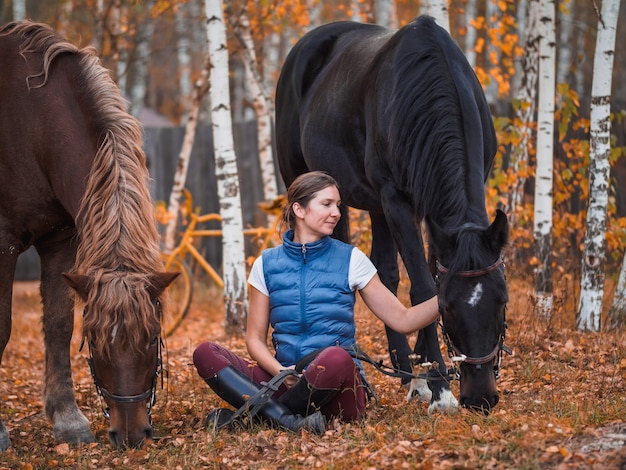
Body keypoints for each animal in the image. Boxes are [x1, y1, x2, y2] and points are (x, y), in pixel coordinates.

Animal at [0, 21, 177, 448]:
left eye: (152, 337)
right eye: (95, 342)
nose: (131, 434)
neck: (33, 128)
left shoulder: (61, 242)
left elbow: (58, 326)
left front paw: (67, 419)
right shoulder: (3, 240)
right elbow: (2, 325)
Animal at [276, 15, 508, 412]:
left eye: (502, 301)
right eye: (448, 309)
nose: (480, 397)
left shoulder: (433, 211)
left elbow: (426, 276)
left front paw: (423, 374)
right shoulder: (396, 199)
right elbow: (424, 287)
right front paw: (439, 387)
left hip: (375, 205)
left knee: (383, 272)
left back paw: (404, 370)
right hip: (315, 186)